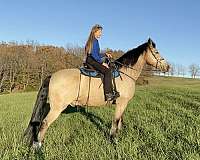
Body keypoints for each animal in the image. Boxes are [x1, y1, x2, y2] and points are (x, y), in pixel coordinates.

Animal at [24, 38, 170, 148]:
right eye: (156, 52)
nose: (167, 67)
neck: (125, 73)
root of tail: (52, 75)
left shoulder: (123, 104)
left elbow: (120, 120)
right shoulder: (121, 103)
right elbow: (116, 121)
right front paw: (114, 140)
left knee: (38, 123)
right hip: (57, 108)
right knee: (44, 123)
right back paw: (38, 147)